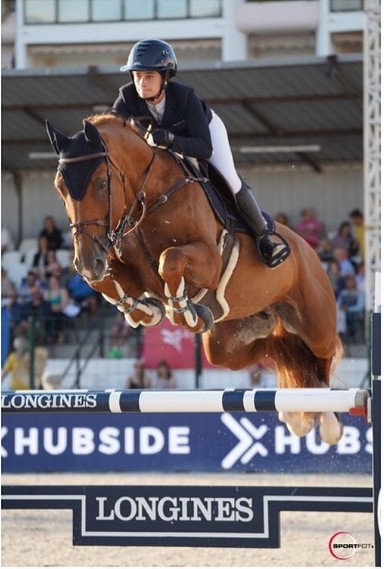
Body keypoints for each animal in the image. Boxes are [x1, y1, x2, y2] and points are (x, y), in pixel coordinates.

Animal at [46, 113, 344, 444]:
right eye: (60, 189)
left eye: (100, 183)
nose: (86, 262)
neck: (150, 198)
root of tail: (309, 250)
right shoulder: (129, 273)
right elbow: (104, 283)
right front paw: (145, 311)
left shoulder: (209, 262)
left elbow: (169, 260)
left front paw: (182, 311)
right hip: (227, 343)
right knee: (278, 349)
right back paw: (295, 413)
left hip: (315, 323)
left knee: (322, 356)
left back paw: (328, 420)